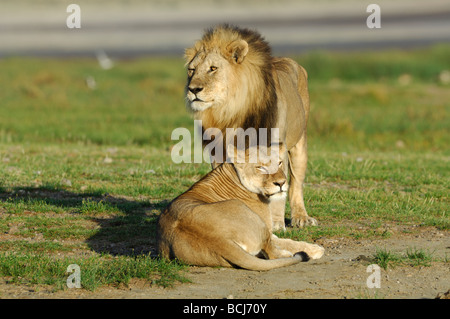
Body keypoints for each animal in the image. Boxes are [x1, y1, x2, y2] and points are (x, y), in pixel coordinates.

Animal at [158, 146, 324, 272]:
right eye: (260, 167)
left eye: (279, 163)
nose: (281, 183)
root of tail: (220, 240)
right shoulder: (269, 230)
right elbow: (288, 241)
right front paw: (316, 249)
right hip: (251, 217)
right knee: (273, 254)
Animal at [185, 25, 314, 230]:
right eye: (192, 70)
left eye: (213, 68)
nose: (193, 89)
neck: (231, 111)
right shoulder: (219, 152)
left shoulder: (276, 148)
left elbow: (280, 189)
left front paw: (276, 223)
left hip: (299, 144)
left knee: (296, 184)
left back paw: (301, 217)